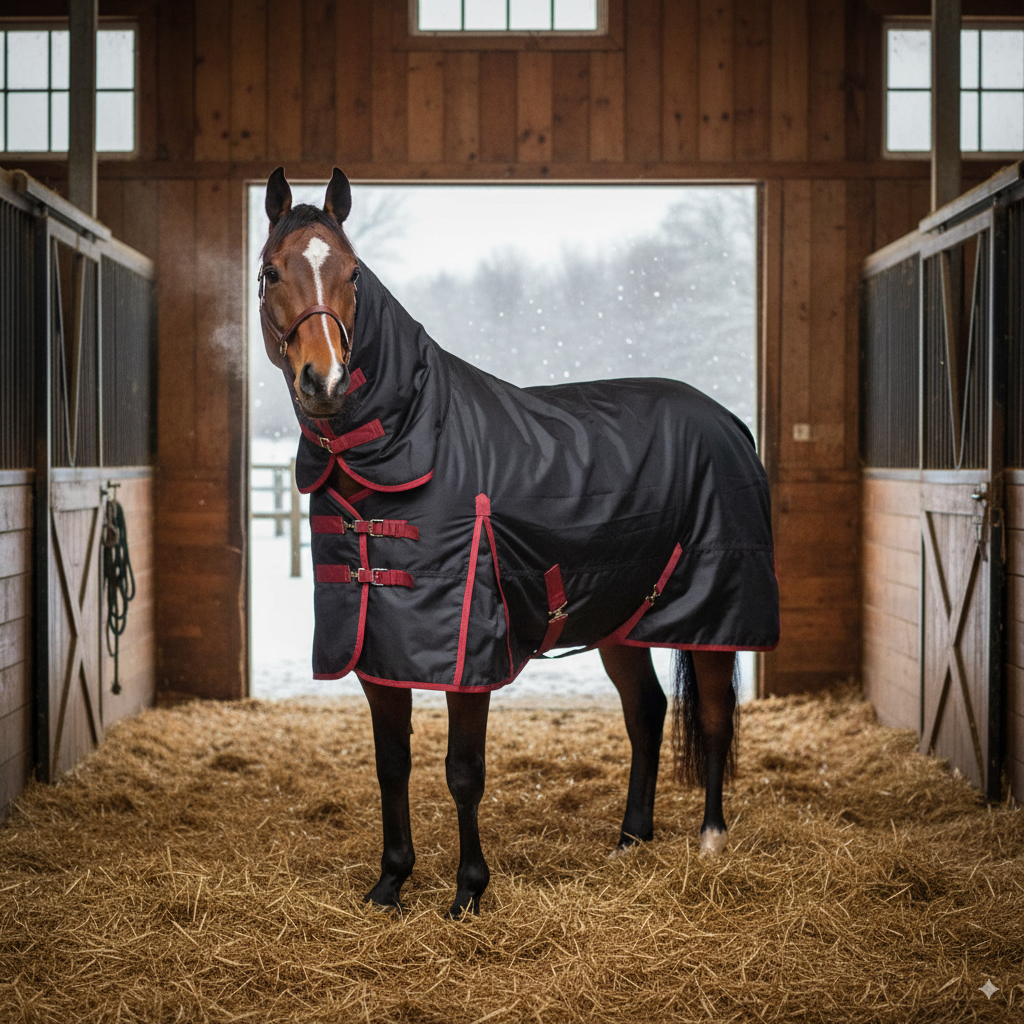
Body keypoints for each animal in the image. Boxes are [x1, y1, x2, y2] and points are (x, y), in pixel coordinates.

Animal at [258, 167, 779, 917]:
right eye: (270, 271)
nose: (322, 381)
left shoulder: (466, 653)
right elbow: (392, 766)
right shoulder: (376, 654)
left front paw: (468, 892)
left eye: (353, 274)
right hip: (621, 620)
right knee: (647, 712)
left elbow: (463, 771)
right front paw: (390, 883)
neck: (414, 440)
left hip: (714, 615)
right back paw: (631, 838)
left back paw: (710, 841)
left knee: (710, 714)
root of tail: (730, 422)